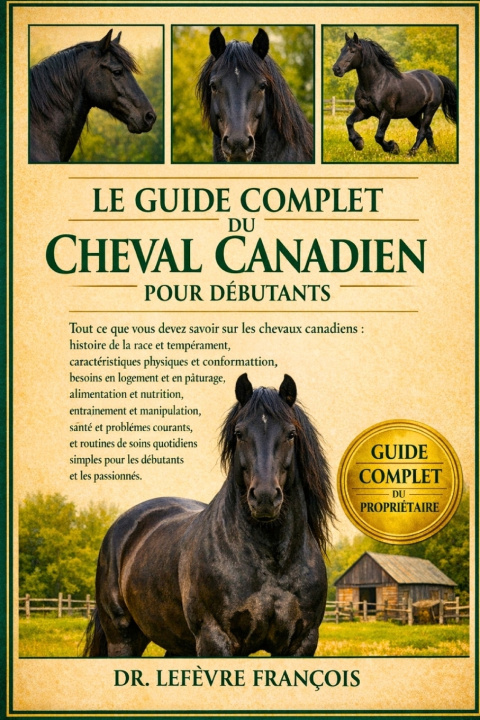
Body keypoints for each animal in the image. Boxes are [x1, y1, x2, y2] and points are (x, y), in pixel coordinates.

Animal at [83, 373, 334, 658]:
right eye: (239, 433)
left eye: (291, 434)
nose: (265, 498)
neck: (273, 563)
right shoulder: (214, 639)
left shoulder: (301, 642)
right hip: (122, 638)